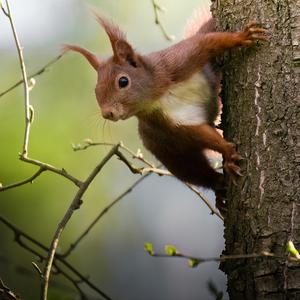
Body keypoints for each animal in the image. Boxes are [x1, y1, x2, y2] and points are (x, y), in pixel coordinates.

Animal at [63, 11, 268, 211]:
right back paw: (218, 185)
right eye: (96, 90)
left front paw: (243, 36)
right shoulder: (167, 122)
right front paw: (228, 152)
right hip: (167, 151)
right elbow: (200, 134)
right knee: (193, 169)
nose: (107, 113)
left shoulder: (180, 59)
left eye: (123, 81)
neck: (157, 96)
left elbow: (210, 42)